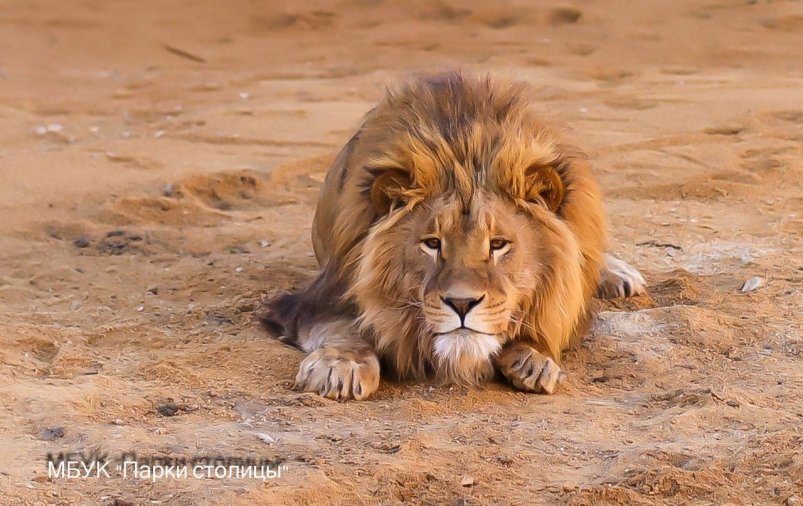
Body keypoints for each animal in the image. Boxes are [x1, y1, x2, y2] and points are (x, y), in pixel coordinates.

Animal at [264, 72, 648, 404]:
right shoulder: (317, 299)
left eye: (498, 244)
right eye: (433, 244)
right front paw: (340, 366)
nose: (461, 304)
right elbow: (344, 328)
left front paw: (534, 360)